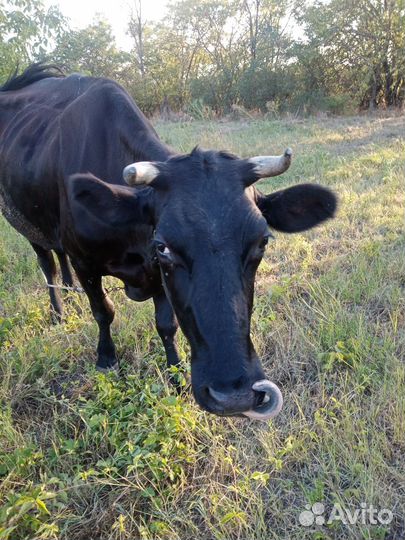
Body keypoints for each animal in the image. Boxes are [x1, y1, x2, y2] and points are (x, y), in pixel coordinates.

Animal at [0, 65, 334, 422]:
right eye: (163, 246)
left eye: (263, 242)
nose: (234, 396)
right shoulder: (86, 262)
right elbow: (103, 311)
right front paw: (106, 358)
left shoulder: (157, 277)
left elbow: (166, 324)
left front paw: (175, 374)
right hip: (24, 222)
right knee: (47, 263)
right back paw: (58, 310)